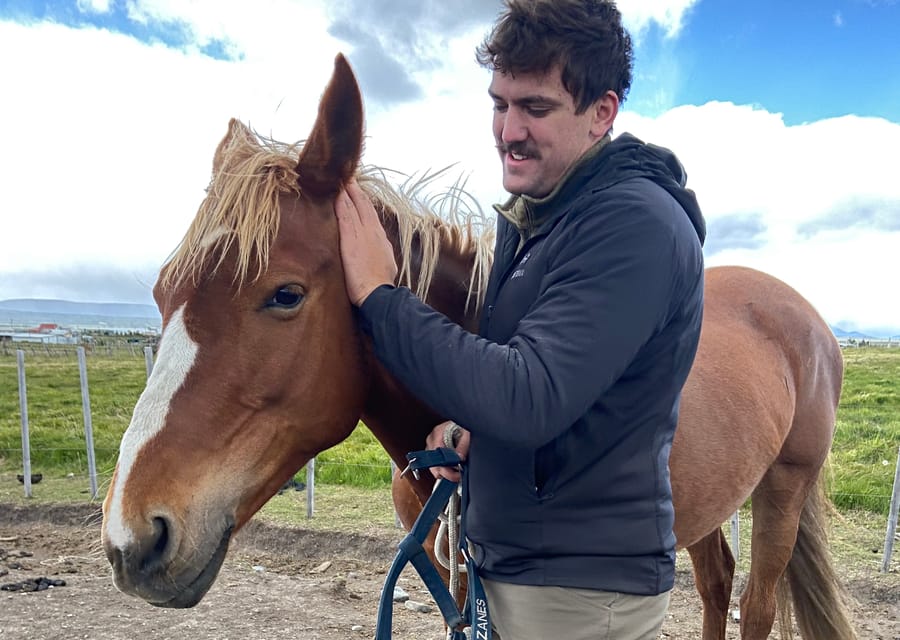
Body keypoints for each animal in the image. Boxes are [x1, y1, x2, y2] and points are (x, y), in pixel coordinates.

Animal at [102, 56, 856, 640]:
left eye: (284, 294)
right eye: (162, 295)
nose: (131, 539)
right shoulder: (455, 578)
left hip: (783, 488)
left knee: (756, 605)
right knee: (717, 585)